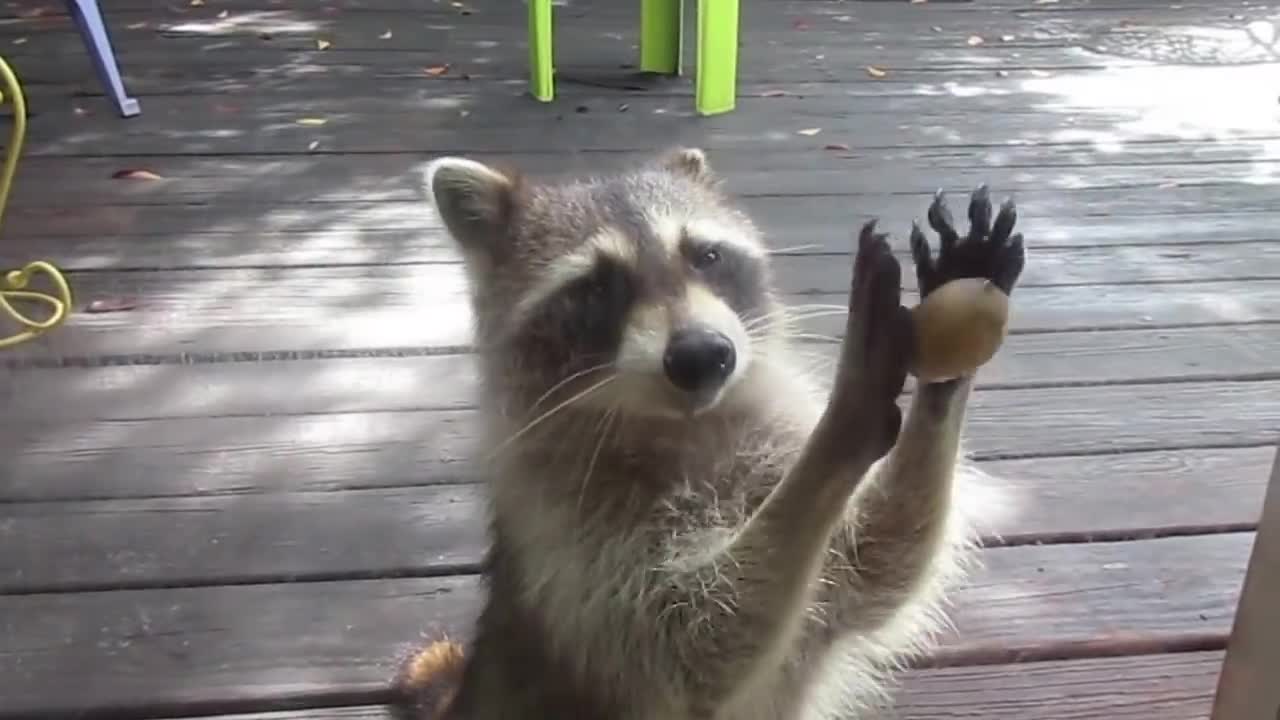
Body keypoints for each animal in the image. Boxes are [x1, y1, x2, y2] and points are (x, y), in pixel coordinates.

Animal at [394, 147, 1024, 717]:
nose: (702, 354)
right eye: (596, 286)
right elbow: (690, 643)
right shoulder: (567, 542)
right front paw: (841, 423)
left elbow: (879, 560)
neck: (688, 426)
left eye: (707, 255)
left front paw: (944, 380)